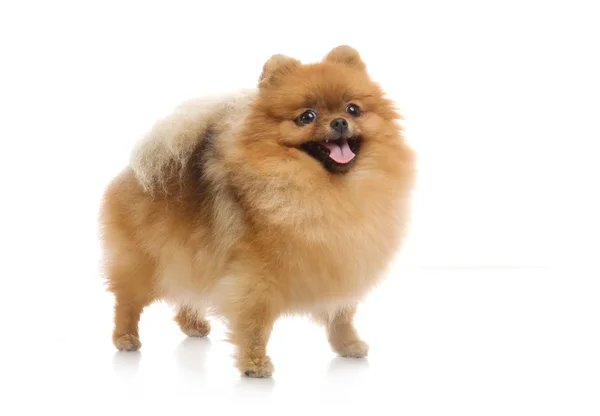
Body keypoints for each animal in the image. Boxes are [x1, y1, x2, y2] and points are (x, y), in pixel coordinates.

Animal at [101, 45, 414, 376]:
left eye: (353, 109)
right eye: (307, 116)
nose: (340, 122)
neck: (329, 191)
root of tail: (135, 172)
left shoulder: (340, 263)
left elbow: (341, 314)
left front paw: (348, 345)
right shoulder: (255, 278)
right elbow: (255, 323)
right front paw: (255, 364)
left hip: (188, 255)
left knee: (189, 292)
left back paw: (193, 325)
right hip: (146, 262)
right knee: (127, 301)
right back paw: (125, 338)